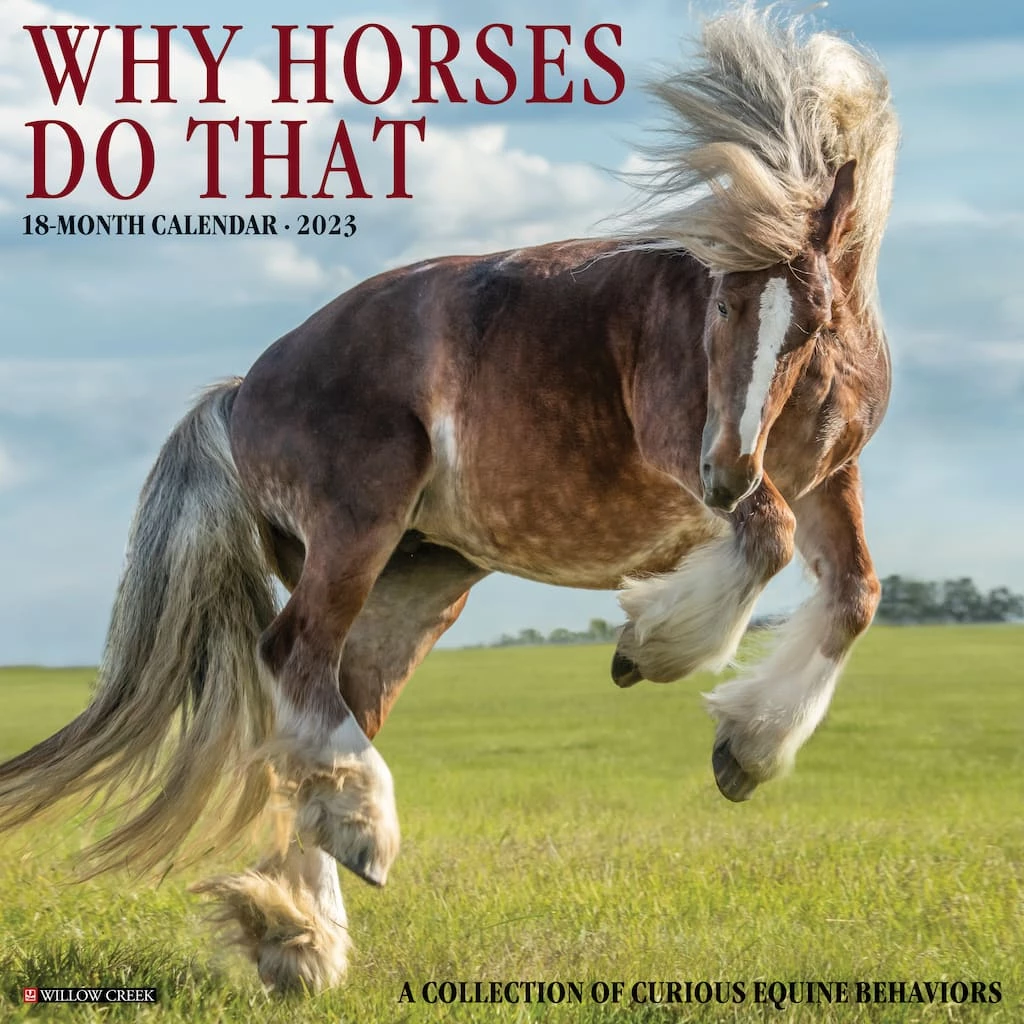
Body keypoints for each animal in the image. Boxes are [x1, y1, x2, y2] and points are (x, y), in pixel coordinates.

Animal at [0, 7, 898, 994]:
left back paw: (299, 932)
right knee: (290, 653)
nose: (725, 469)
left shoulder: (829, 478)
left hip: (419, 585)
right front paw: (652, 647)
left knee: (327, 710)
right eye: (724, 305)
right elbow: (766, 540)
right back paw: (359, 843)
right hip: (359, 526)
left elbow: (854, 594)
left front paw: (747, 747)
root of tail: (243, 393)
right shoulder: (691, 452)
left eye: (810, 321)